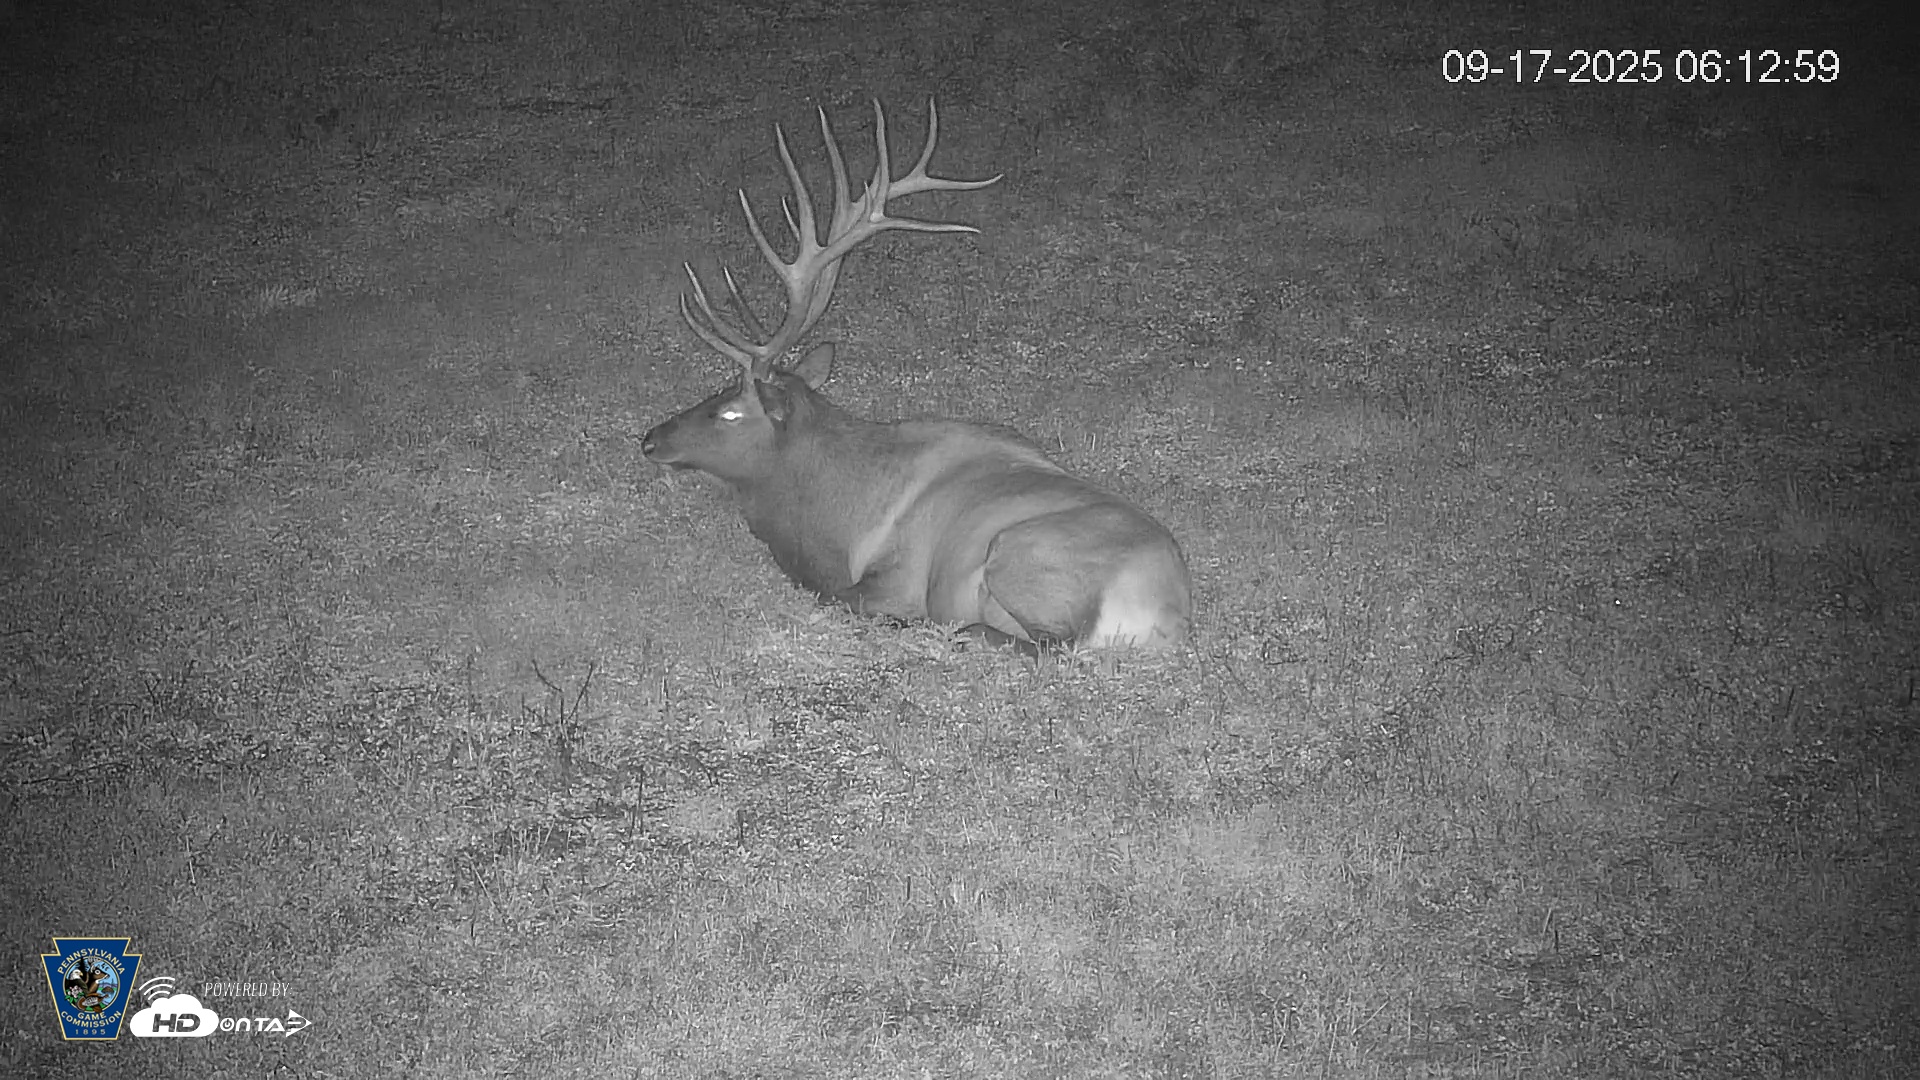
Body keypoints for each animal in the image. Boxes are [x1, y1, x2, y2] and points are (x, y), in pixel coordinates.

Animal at [641, 100, 1192, 652]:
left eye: (730, 412)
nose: (650, 439)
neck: (833, 517)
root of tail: (1166, 616)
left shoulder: (895, 578)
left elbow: (840, 598)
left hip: (1017, 552)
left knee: (1042, 642)